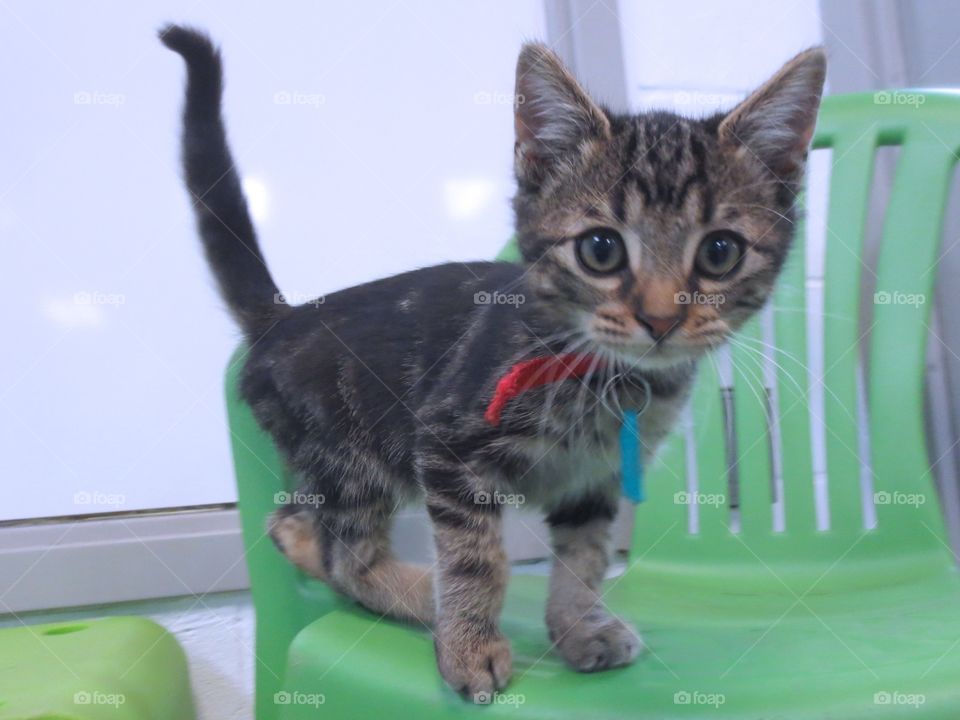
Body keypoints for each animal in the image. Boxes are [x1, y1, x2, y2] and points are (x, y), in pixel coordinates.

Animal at [159, 28, 824, 704]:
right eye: (600, 249)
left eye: (720, 253)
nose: (660, 318)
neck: (606, 376)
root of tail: (284, 319)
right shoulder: (448, 444)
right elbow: (475, 557)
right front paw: (470, 645)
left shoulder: (596, 477)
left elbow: (585, 558)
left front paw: (577, 627)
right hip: (352, 458)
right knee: (342, 555)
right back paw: (426, 598)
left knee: (293, 526)